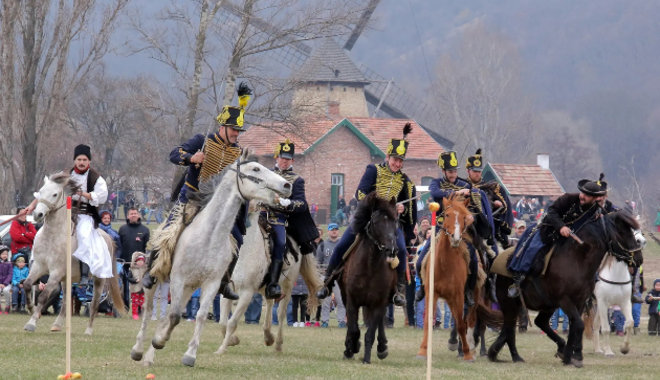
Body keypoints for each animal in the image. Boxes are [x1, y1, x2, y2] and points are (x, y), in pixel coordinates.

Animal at [340, 194, 398, 364]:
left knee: (379, 323)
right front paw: (351, 347)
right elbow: (353, 328)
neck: (369, 267)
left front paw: (366, 358)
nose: (392, 250)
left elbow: (370, 333)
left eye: (395, 221)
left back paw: (382, 347)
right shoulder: (352, 301)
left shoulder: (378, 303)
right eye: (376, 222)